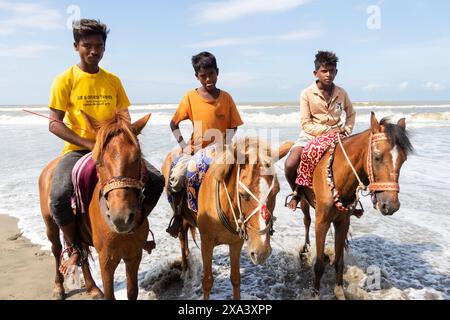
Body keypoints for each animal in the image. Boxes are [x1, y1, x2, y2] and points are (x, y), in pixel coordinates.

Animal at [39, 110, 151, 300]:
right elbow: (110, 295)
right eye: (98, 161)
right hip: (50, 224)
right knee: (56, 249)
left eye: (137, 158)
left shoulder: (134, 255)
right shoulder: (106, 259)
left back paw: (92, 287)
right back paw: (58, 287)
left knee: (82, 252)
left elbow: (132, 292)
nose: (121, 219)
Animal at [161, 138, 292, 300]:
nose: (261, 252)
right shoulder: (206, 242)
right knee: (182, 240)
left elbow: (235, 279)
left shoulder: (236, 243)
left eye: (276, 191)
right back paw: (185, 270)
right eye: (243, 194)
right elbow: (207, 281)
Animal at [298, 111, 414, 298]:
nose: (391, 206)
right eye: (377, 157)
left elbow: (340, 261)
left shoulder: (343, 222)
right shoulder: (321, 222)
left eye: (403, 160)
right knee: (306, 221)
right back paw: (305, 250)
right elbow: (319, 265)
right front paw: (315, 293)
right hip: (303, 203)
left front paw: (339, 291)